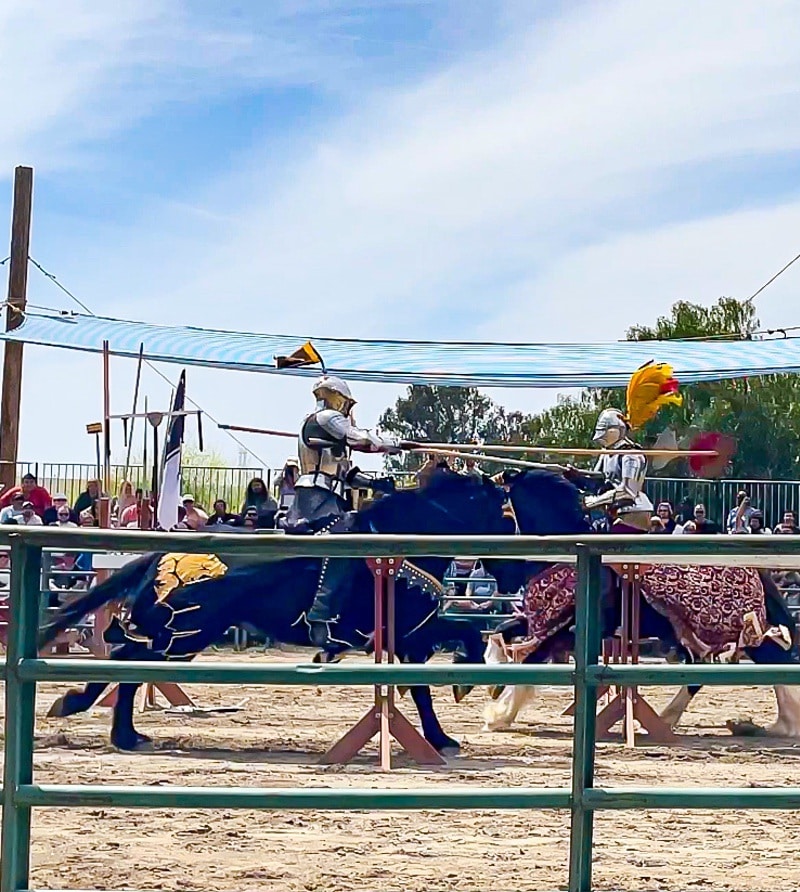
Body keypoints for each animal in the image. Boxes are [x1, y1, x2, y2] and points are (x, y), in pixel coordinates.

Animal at [40, 470, 516, 756]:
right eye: (508, 514)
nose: (516, 571)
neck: (402, 538)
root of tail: (161, 552)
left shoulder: (410, 637)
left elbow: (439, 667)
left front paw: (444, 728)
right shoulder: (410, 632)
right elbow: (454, 651)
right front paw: (459, 699)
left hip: (180, 638)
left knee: (127, 662)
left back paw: (116, 728)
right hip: (184, 634)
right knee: (127, 660)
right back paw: (99, 719)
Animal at [482, 470, 800, 736]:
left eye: (497, 508)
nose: (496, 569)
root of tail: (755, 571)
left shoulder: (569, 632)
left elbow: (529, 660)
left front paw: (500, 711)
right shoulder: (542, 623)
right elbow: (501, 632)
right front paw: (494, 686)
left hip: (736, 628)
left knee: (773, 659)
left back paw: (782, 725)